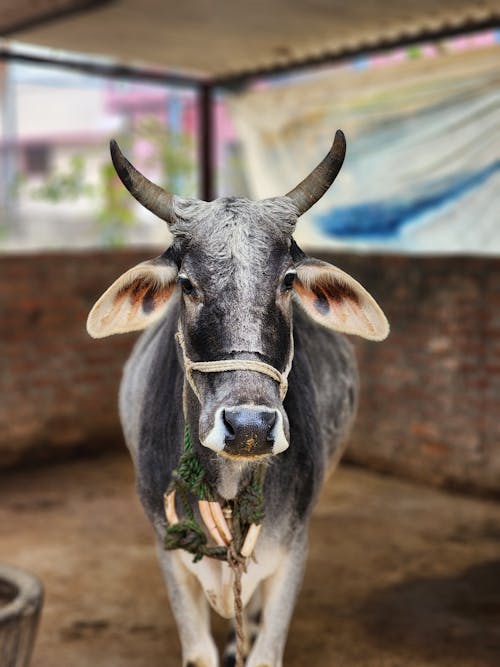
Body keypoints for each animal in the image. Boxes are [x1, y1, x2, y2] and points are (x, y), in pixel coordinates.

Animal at [88, 132, 388, 667]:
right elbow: (199, 653)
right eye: (186, 284)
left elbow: (264, 650)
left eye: (288, 281)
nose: (249, 426)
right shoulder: (168, 554)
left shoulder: (292, 550)